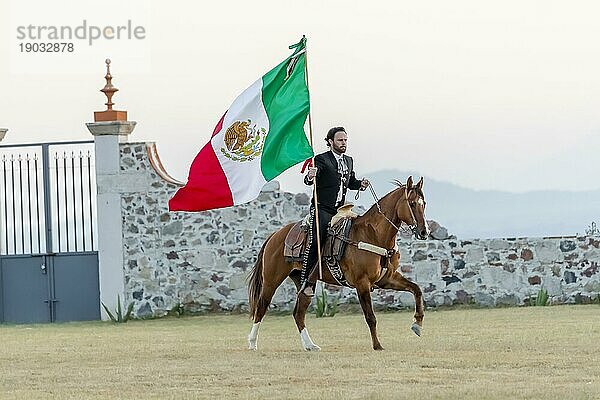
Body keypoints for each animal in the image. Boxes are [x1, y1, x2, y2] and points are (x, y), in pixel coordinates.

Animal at [246, 176, 428, 350]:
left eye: (424, 203)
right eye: (412, 203)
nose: (424, 232)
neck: (373, 235)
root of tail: (275, 235)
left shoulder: (387, 279)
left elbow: (416, 290)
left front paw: (417, 324)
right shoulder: (362, 283)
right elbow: (370, 317)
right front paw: (377, 345)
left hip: (305, 283)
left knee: (298, 313)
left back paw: (309, 345)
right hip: (271, 281)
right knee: (261, 307)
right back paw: (252, 343)